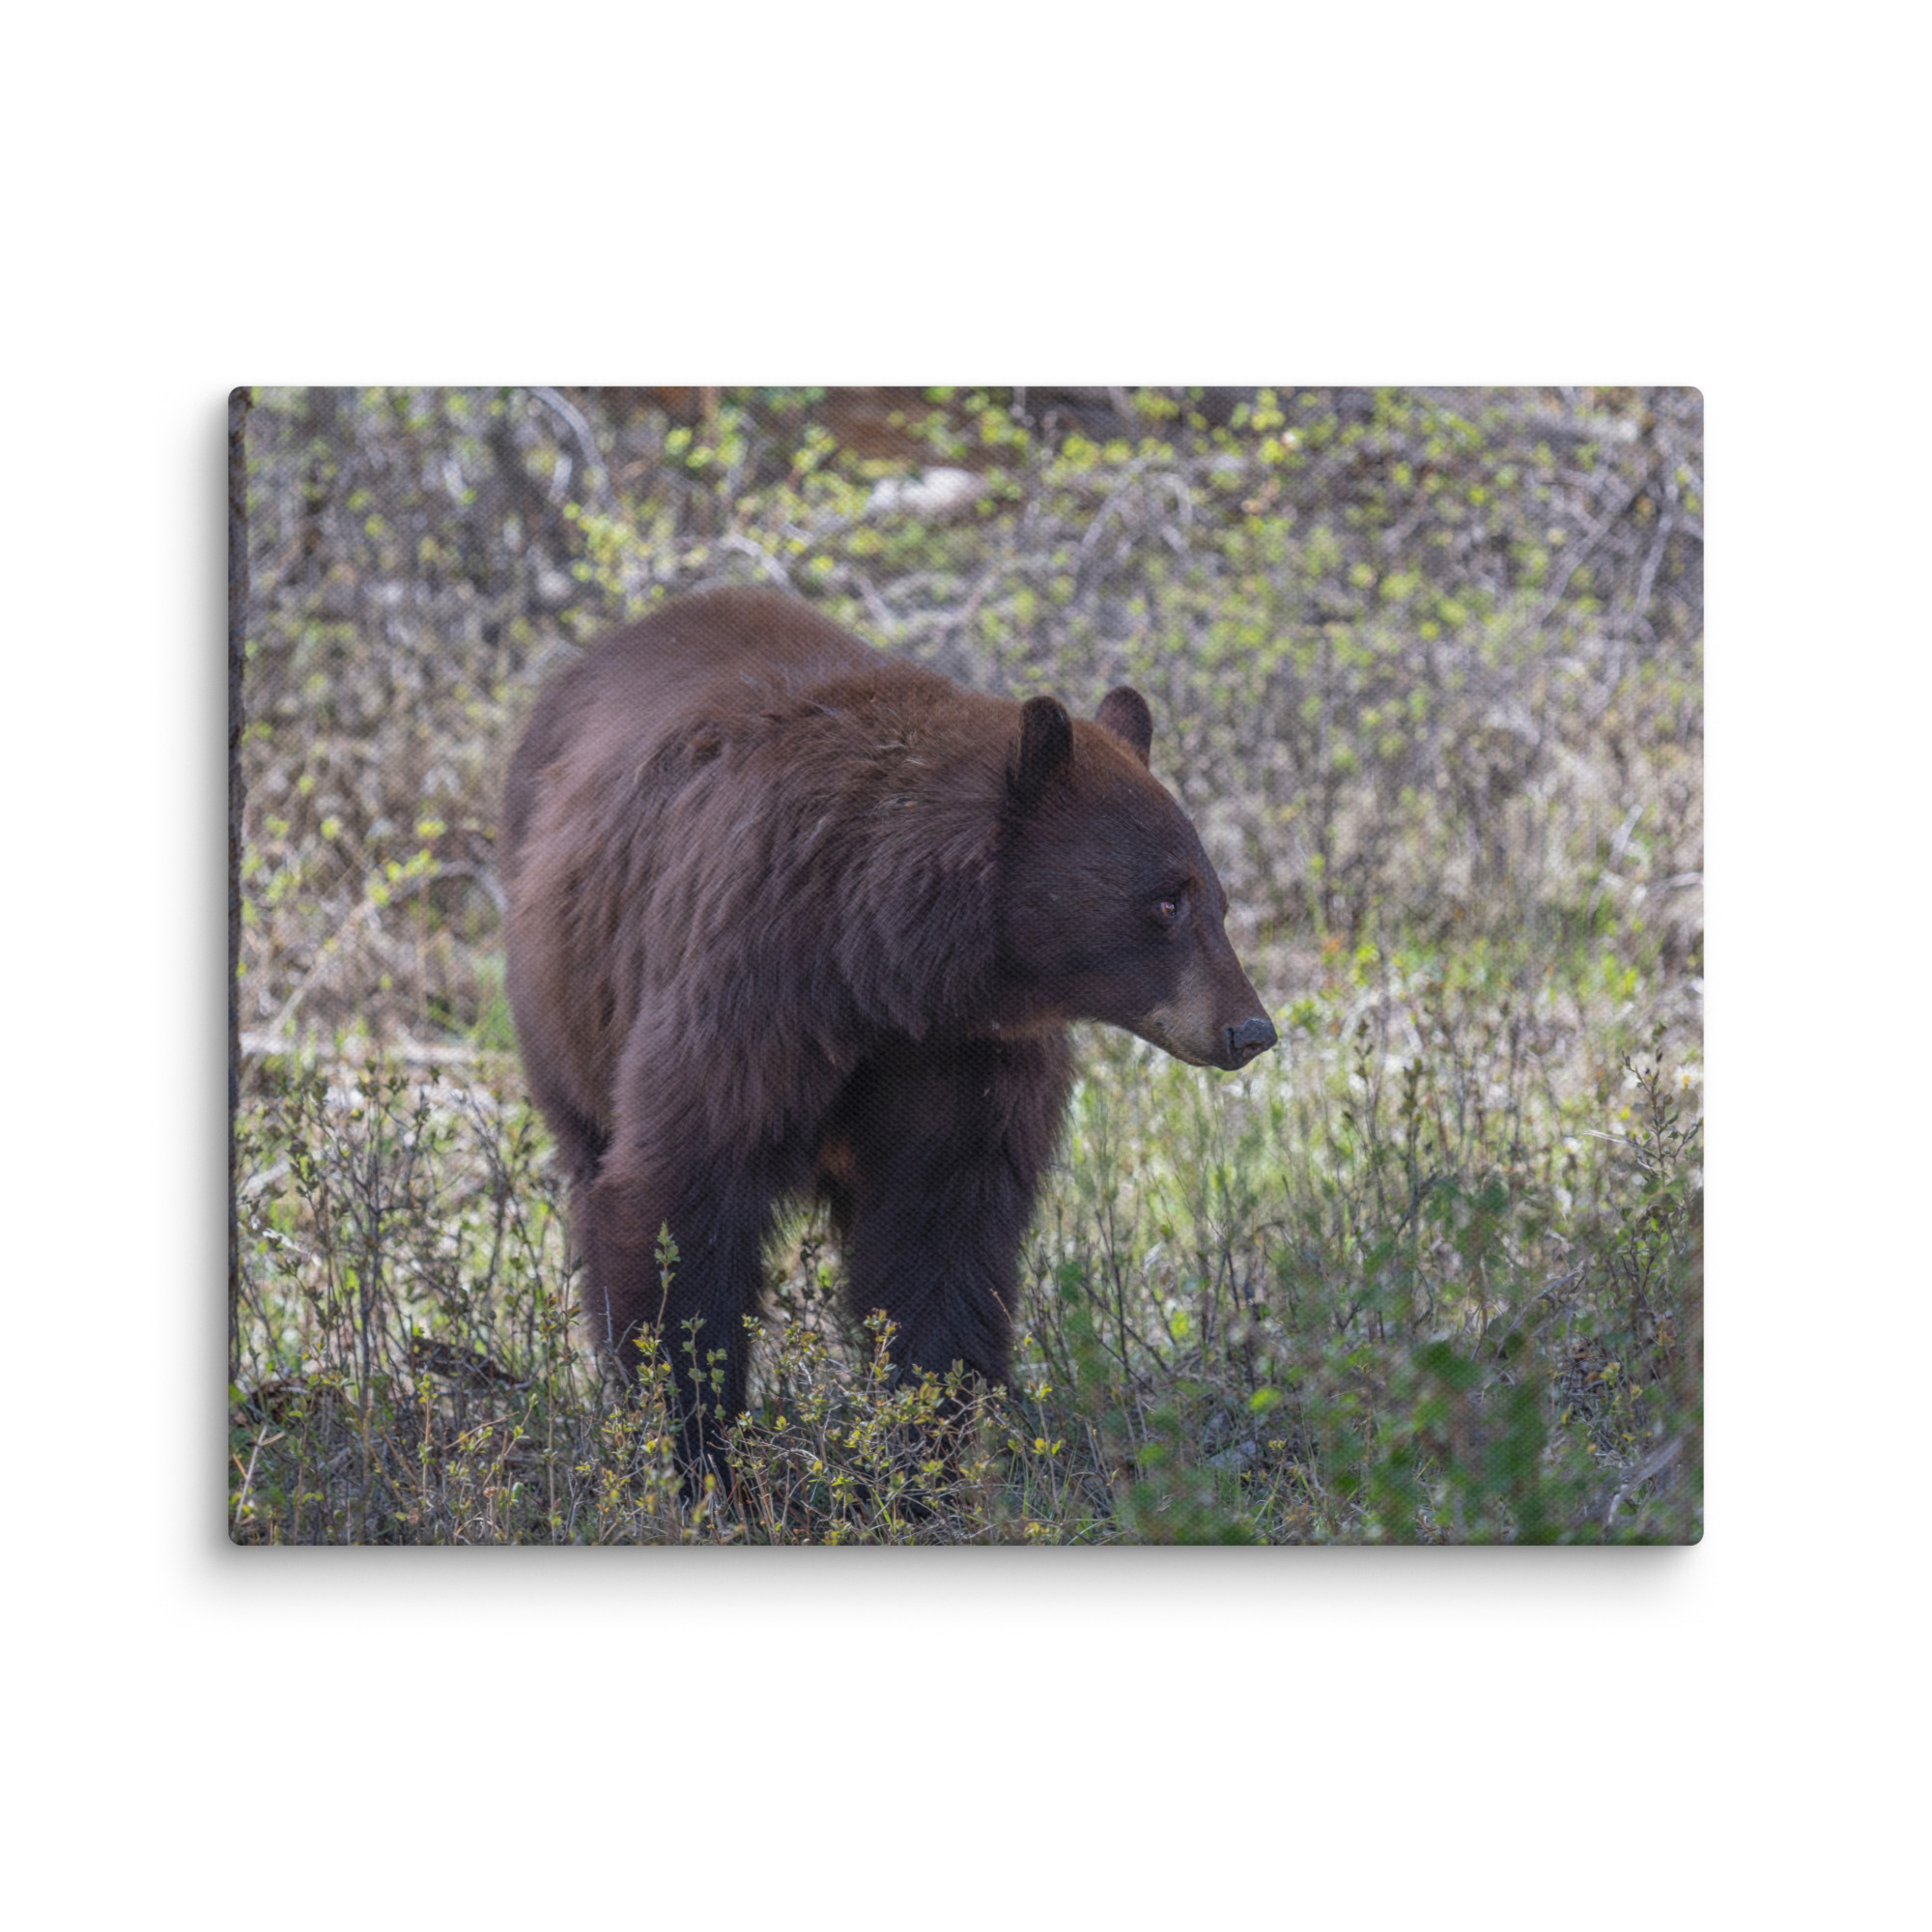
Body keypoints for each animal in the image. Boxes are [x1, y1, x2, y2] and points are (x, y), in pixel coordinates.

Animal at [501, 585, 1275, 1474]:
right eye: (1166, 901)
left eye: (1216, 899)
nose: (1250, 1029)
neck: (883, 964)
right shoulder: (750, 990)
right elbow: (682, 1197)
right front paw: (700, 1447)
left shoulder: (965, 1057)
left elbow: (941, 1239)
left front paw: (920, 1454)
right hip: (565, 1005)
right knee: (591, 1162)